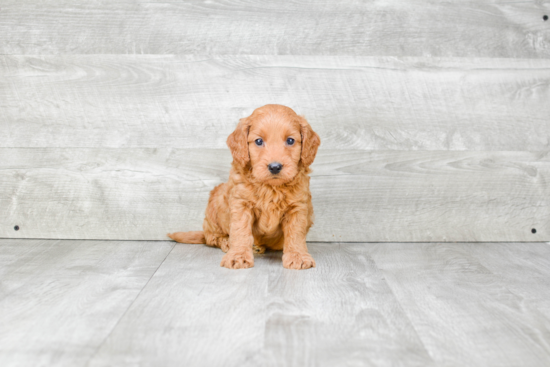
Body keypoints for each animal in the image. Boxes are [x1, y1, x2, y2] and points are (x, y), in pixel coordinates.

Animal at [169, 104, 324, 270]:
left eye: (290, 140)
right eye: (258, 141)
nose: (275, 167)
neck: (271, 187)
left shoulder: (298, 206)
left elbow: (296, 233)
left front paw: (297, 256)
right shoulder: (240, 204)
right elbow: (240, 231)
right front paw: (238, 256)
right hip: (215, 204)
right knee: (212, 237)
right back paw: (227, 242)